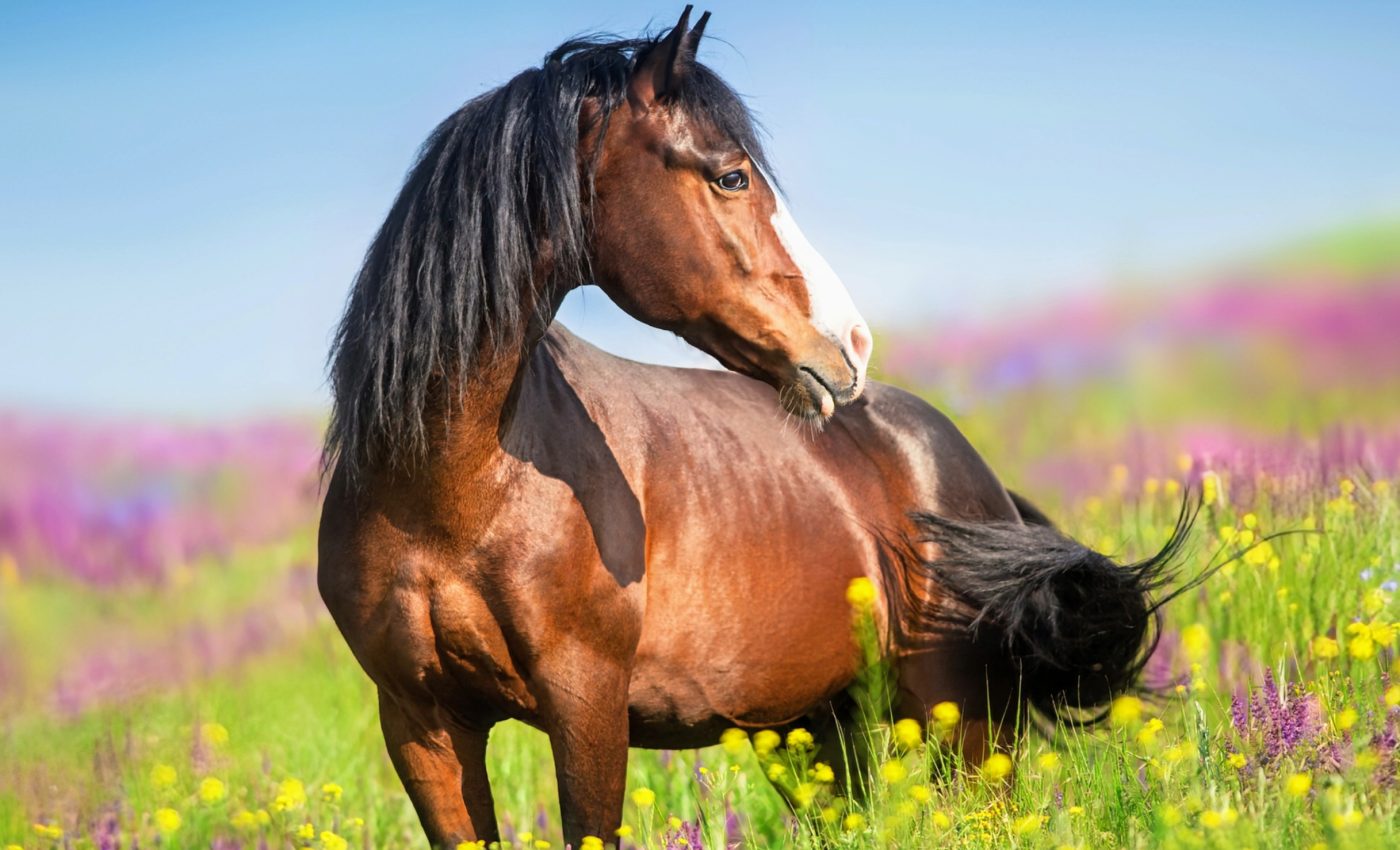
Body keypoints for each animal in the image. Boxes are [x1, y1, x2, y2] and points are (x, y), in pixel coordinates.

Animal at [317, 9, 1188, 847]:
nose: (851, 343)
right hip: (813, 727)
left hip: (965, 729)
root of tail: (972, 476)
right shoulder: (424, 724)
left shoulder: (585, 705)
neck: (452, 490)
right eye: (730, 176)